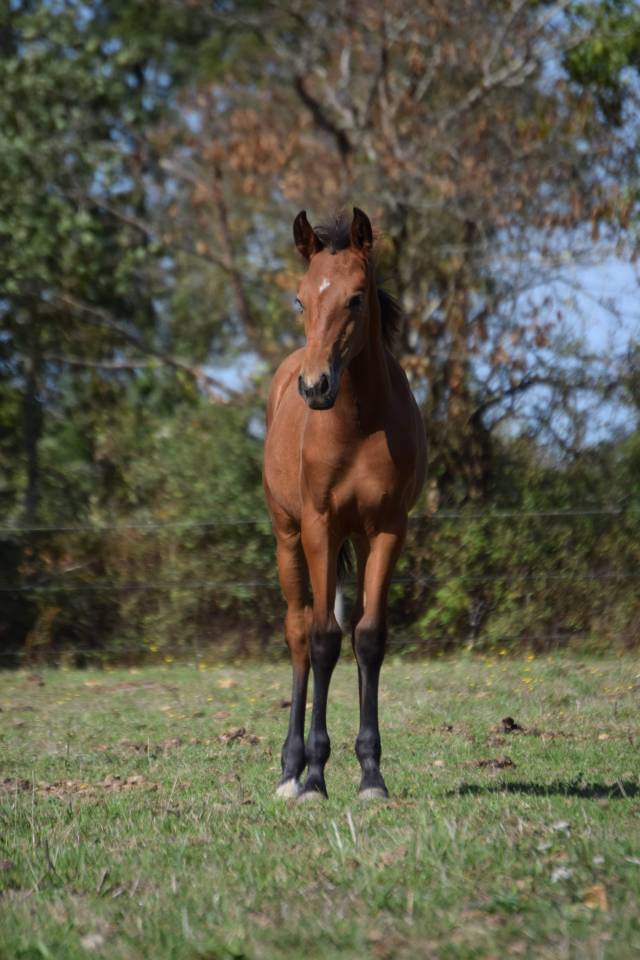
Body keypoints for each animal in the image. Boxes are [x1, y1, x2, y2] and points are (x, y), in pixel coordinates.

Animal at [263, 207, 427, 801]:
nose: (316, 387)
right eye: (300, 300)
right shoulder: (319, 526)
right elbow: (322, 640)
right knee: (298, 632)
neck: (357, 424)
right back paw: (291, 770)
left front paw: (371, 773)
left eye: (356, 298)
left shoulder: (387, 528)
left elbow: (369, 638)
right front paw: (313, 776)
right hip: (288, 537)